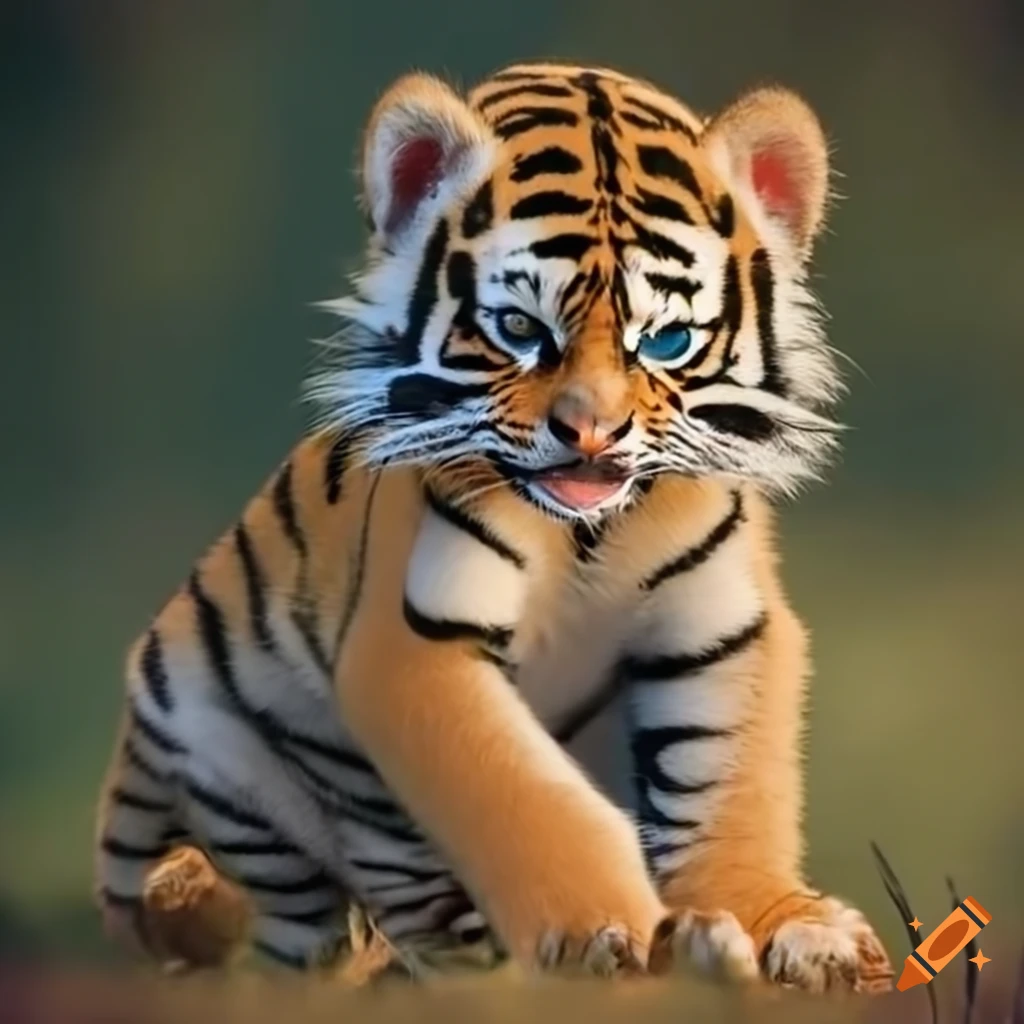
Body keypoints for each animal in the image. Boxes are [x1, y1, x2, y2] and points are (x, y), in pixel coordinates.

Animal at [94, 60, 894, 991]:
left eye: (664, 341)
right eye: (520, 329)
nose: (593, 435)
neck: (592, 533)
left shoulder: (724, 632)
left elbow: (729, 790)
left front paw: (786, 927)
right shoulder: (418, 642)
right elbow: (524, 798)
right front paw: (600, 933)